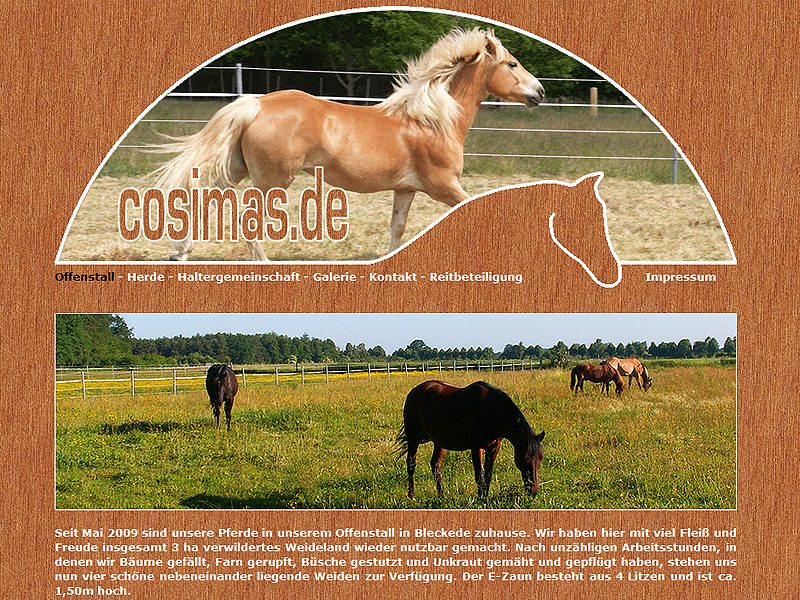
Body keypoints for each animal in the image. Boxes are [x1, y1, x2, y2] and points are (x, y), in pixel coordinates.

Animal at [151, 28, 544, 260]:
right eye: (512, 64)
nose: (539, 92)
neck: (432, 121)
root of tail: (256, 103)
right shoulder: (444, 186)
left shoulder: (406, 190)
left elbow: (396, 229)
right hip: (271, 181)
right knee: (245, 219)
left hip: (236, 169)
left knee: (204, 197)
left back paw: (179, 252)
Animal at [398, 380, 545, 499]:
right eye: (525, 459)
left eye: (540, 458)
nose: (533, 491)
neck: (489, 410)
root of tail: (415, 391)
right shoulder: (476, 447)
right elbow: (479, 475)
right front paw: (481, 499)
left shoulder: (494, 447)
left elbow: (488, 475)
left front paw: (485, 497)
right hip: (413, 437)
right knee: (411, 464)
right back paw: (412, 495)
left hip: (439, 442)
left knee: (436, 465)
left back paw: (441, 495)